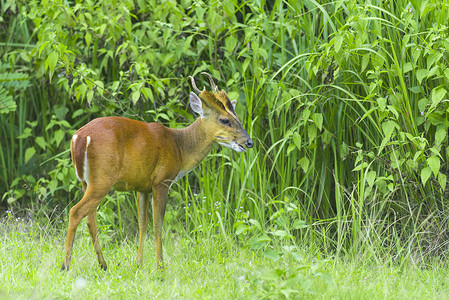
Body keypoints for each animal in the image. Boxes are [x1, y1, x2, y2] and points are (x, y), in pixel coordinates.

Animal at [61, 72, 254, 272]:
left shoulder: (142, 186)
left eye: (237, 117)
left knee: (90, 219)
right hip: (102, 179)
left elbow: (143, 223)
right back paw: (65, 265)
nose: (249, 142)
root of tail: (78, 138)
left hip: (86, 181)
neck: (180, 147)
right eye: (225, 120)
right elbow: (158, 224)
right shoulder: (162, 180)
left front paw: (138, 263)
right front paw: (160, 264)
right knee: (75, 212)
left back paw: (103, 264)